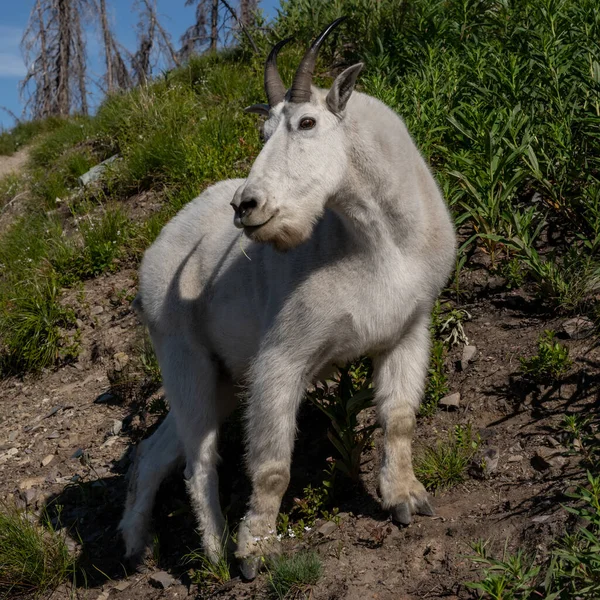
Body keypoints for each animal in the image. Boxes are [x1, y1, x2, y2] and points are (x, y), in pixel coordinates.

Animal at [118, 17, 454, 580]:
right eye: (263, 133)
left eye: (308, 123)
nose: (247, 206)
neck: (377, 243)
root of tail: (154, 252)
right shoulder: (281, 358)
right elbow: (273, 465)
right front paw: (255, 551)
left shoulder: (407, 331)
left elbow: (399, 418)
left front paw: (405, 498)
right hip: (182, 356)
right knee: (199, 459)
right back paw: (216, 553)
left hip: (222, 376)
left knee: (155, 450)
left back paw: (132, 542)